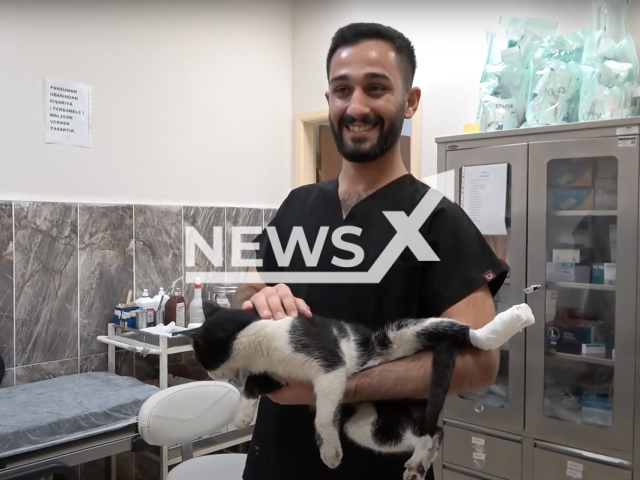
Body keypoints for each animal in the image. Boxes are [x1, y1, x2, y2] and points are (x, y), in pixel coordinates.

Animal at [181, 298, 536, 478]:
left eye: (202, 356)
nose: (209, 373)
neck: (260, 338)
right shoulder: (277, 376)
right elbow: (254, 383)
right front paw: (243, 414)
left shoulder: (329, 366)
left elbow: (323, 416)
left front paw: (330, 451)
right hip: (369, 425)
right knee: (430, 432)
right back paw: (419, 462)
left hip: (397, 335)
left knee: (466, 333)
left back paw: (514, 319)